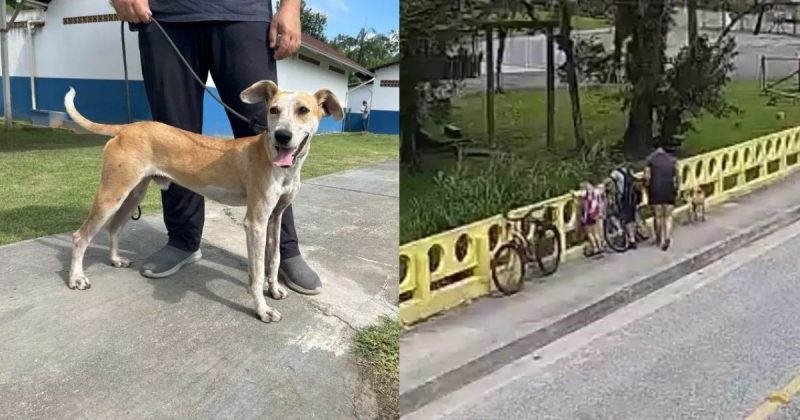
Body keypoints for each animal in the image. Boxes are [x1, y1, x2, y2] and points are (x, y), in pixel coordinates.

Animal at [63, 80, 344, 324]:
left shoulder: (275, 217)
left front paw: (274, 289)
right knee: (80, 236)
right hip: (111, 195)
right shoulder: (255, 223)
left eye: (303, 110)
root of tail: (125, 128)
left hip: (132, 194)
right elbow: (256, 272)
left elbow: (273, 260)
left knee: (114, 227)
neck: (272, 157)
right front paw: (262, 309)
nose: (281, 136)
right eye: (273, 110)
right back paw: (76, 278)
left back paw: (115, 259)